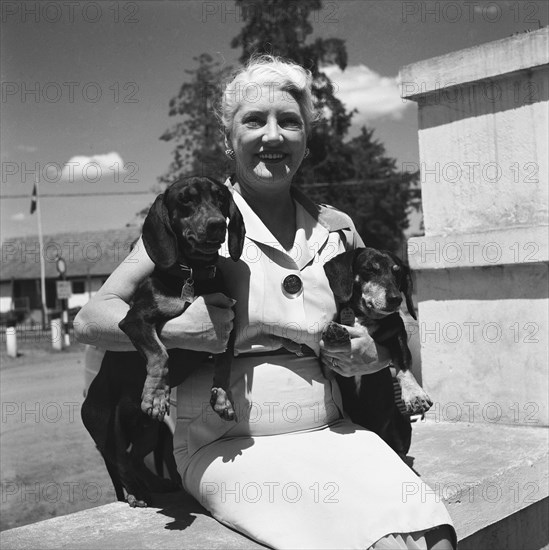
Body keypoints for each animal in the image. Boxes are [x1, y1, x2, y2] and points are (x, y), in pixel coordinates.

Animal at [81, 177, 244, 508]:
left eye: (220, 198)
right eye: (186, 200)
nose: (216, 225)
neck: (194, 277)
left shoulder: (229, 326)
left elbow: (224, 362)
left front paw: (222, 399)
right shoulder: (134, 321)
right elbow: (160, 352)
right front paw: (156, 394)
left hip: (150, 432)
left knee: (133, 460)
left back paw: (157, 485)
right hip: (108, 430)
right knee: (120, 461)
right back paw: (135, 493)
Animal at [322, 248, 432, 460]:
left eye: (397, 272)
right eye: (369, 269)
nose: (396, 299)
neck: (364, 318)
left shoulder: (397, 333)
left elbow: (403, 362)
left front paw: (415, 395)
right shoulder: (328, 368)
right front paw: (335, 332)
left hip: (402, 426)